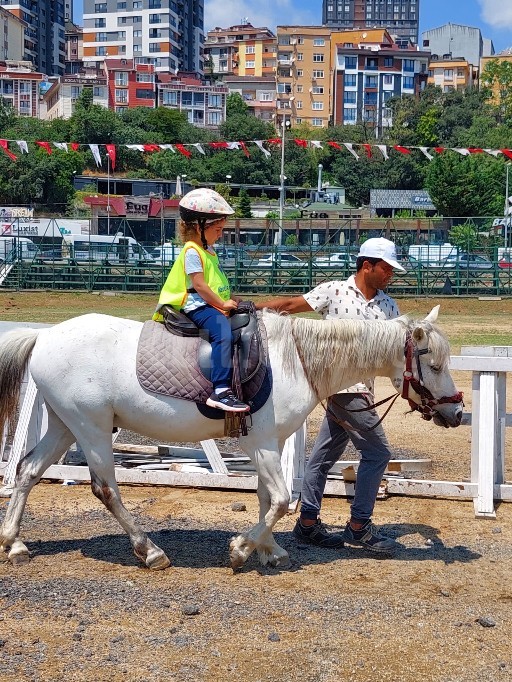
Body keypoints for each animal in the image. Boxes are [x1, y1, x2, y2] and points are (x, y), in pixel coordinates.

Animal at [0, 306, 462, 564]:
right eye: (434, 364)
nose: (457, 411)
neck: (296, 358)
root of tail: (44, 335)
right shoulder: (260, 444)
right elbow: (281, 500)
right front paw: (242, 550)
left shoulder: (268, 445)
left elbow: (266, 499)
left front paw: (269, 550)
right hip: (91, 427)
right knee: (106, 489)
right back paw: (149, 550)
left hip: (65, 425)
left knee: (27, 470)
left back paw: (14, 543)